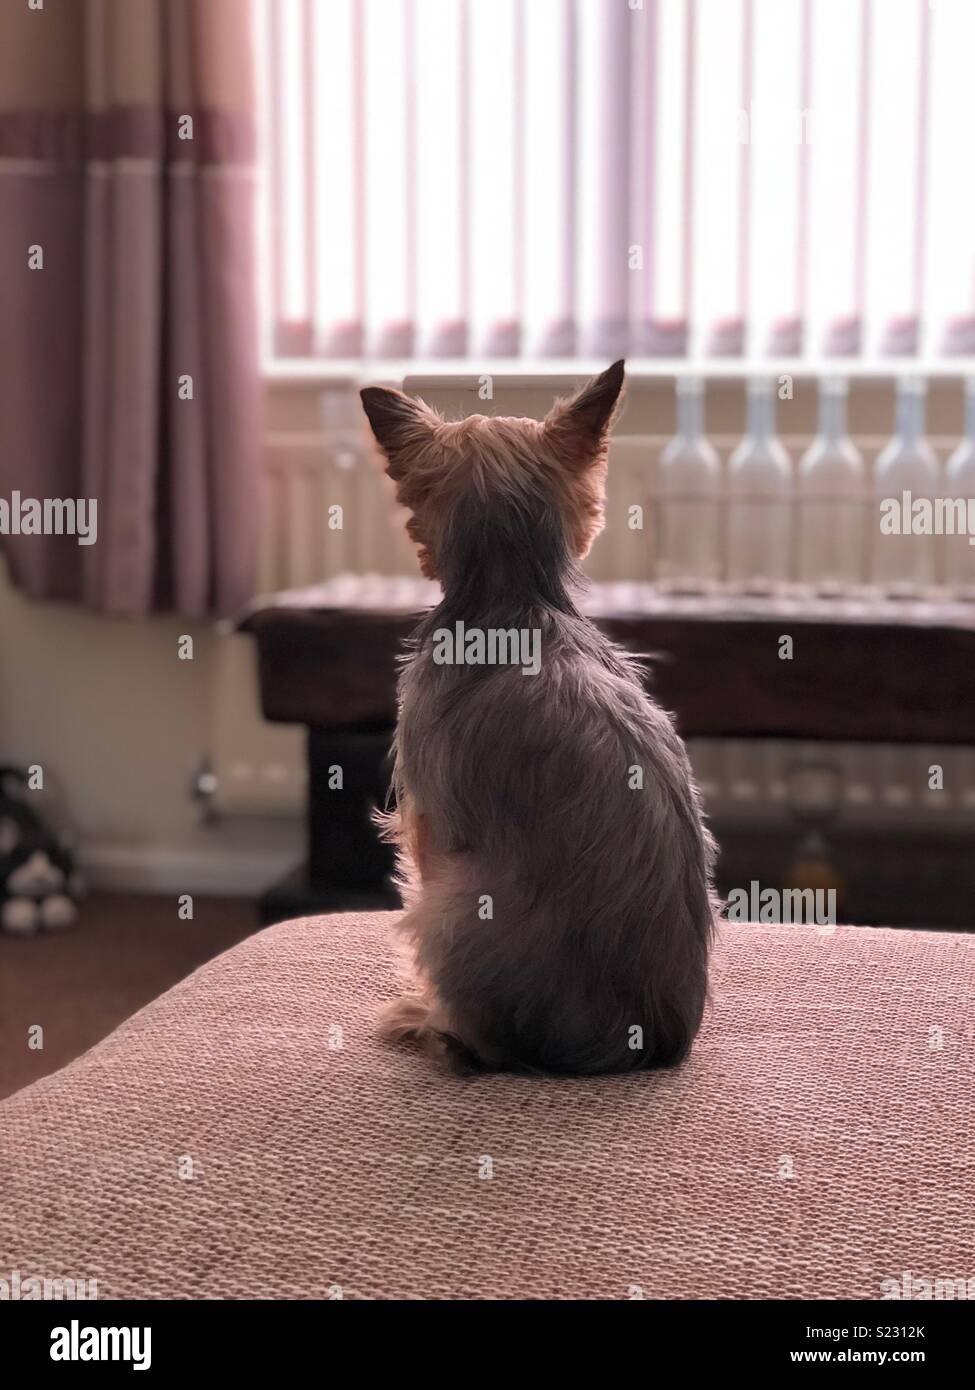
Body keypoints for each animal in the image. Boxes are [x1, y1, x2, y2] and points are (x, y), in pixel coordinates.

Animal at [358, 361, 717, 1073]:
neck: (514, 599)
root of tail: (644, 1041)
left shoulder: (429, 826)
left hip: (452, 909)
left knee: (489, 1037)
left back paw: (437, 1028)